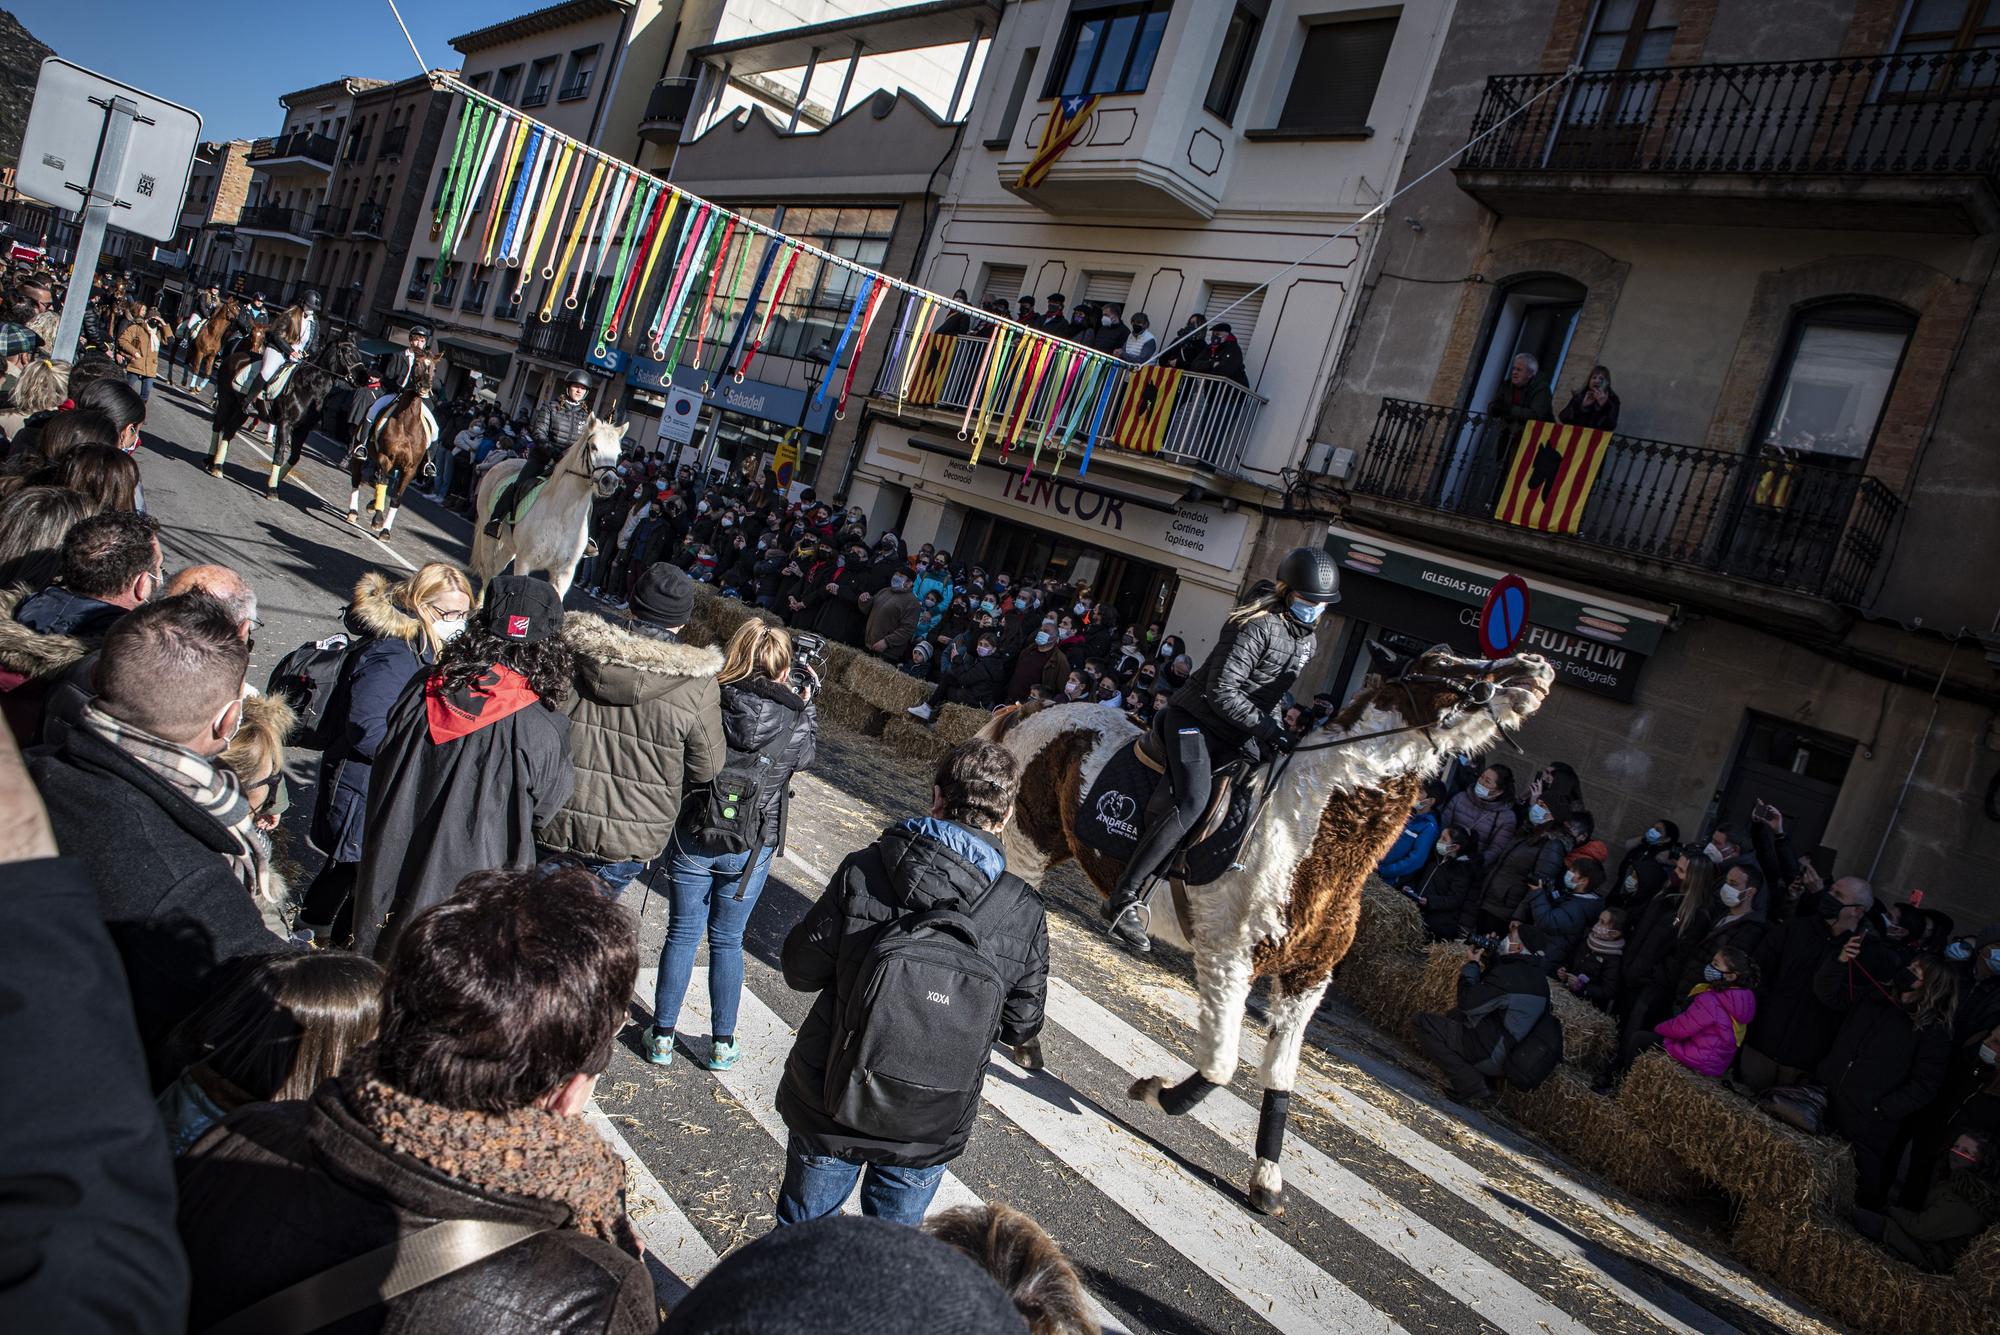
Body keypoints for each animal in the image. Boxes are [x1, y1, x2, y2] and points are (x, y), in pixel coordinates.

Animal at [209, 333, 370, 499]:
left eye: (358, 352)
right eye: (347, 351)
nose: (366, 379)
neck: (309, 388)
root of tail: (235, 356)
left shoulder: (302, 429)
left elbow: (295, 457)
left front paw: (275, 481)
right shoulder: (285, 423)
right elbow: (279, 454)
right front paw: (272, 489)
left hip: (242, 411)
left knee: (229, 431)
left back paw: (218, 467)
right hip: (226, 399)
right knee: (218, 425)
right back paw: (210, 462)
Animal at [350, 353, 448, 547]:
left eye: (434, 369)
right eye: (416, 364)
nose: (424, 388)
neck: (407, 424)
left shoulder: (410, 469)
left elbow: (396, 497)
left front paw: (385, 531)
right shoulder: (385, 458)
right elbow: (383, 484)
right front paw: (378, 519)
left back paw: (371, 505)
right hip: (362, 454)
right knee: (358, 478)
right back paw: (354, 512)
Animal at [470, 417, 620, 599]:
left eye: (618, 453)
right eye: (594, 447)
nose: (610, 482)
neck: (562, 514)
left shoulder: (563, 573)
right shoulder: (524, 562)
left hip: (509, 547)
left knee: (494, 572)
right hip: (489, 538)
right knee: (487, 571)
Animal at [976, 639, 1552, 1215]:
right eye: (1446, 664)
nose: (1537, 668)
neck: (1308, 830)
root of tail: (1039, 707)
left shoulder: (1308, 978)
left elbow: (1279, 1079)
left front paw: (1268, 1178)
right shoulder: (1228, 961)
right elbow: (1222, 1066)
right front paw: (1154, 1091)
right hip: (1028, 842)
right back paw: (1027, 1036)